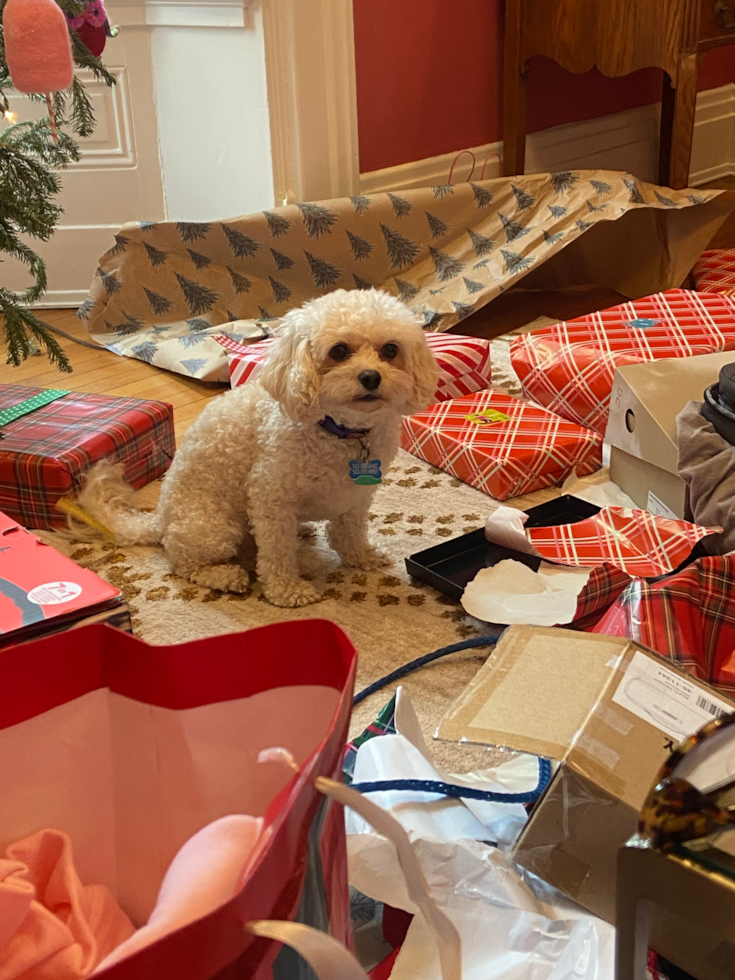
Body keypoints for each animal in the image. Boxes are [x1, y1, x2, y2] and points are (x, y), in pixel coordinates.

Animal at [80, 288, 436, 604]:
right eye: (338, 350)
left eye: (390, 349)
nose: (370, 377)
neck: (341, 431)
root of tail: (160, 519)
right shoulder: (271, 497)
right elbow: (277, 552)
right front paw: (286, 591)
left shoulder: (357, 496)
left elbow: (349, 532)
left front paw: (362, 556)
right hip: (214, 528)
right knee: (184, 563)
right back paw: (225, 576)